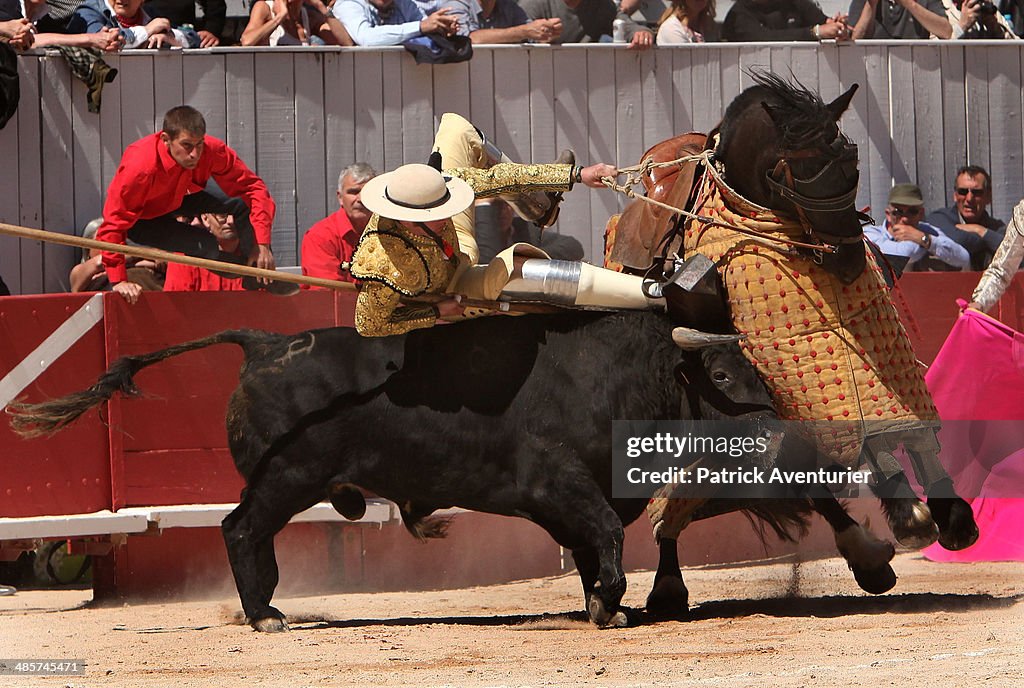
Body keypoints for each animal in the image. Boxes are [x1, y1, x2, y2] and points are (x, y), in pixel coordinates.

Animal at [8, 309, 880, 630]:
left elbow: (596, 544)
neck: (627, 375)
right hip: (289, 480)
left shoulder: (575, 499)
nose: (787, 433)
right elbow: (603, 535)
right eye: (726, 374)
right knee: (240, 528)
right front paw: (609, 604)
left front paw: (603, 602)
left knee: (248, 533)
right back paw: (264, 615)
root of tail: (265, 342)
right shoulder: (556, 483)